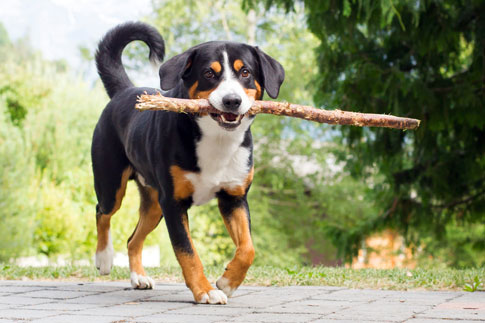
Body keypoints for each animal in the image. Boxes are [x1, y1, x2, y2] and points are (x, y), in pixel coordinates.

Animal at [91, 21, 284, 306]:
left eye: (245, 72)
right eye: (209, 73)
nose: (232, 101)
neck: (217, 140)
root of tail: (124, 91)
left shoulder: (234, 197)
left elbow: (248, 248)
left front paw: (228, 281)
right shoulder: (174, 203)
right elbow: (187, 252)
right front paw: (205, 291)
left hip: (154, 204)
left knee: (133, 239)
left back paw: (139, 277)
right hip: (112, 184)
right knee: (102, 212)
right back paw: (104, 257)